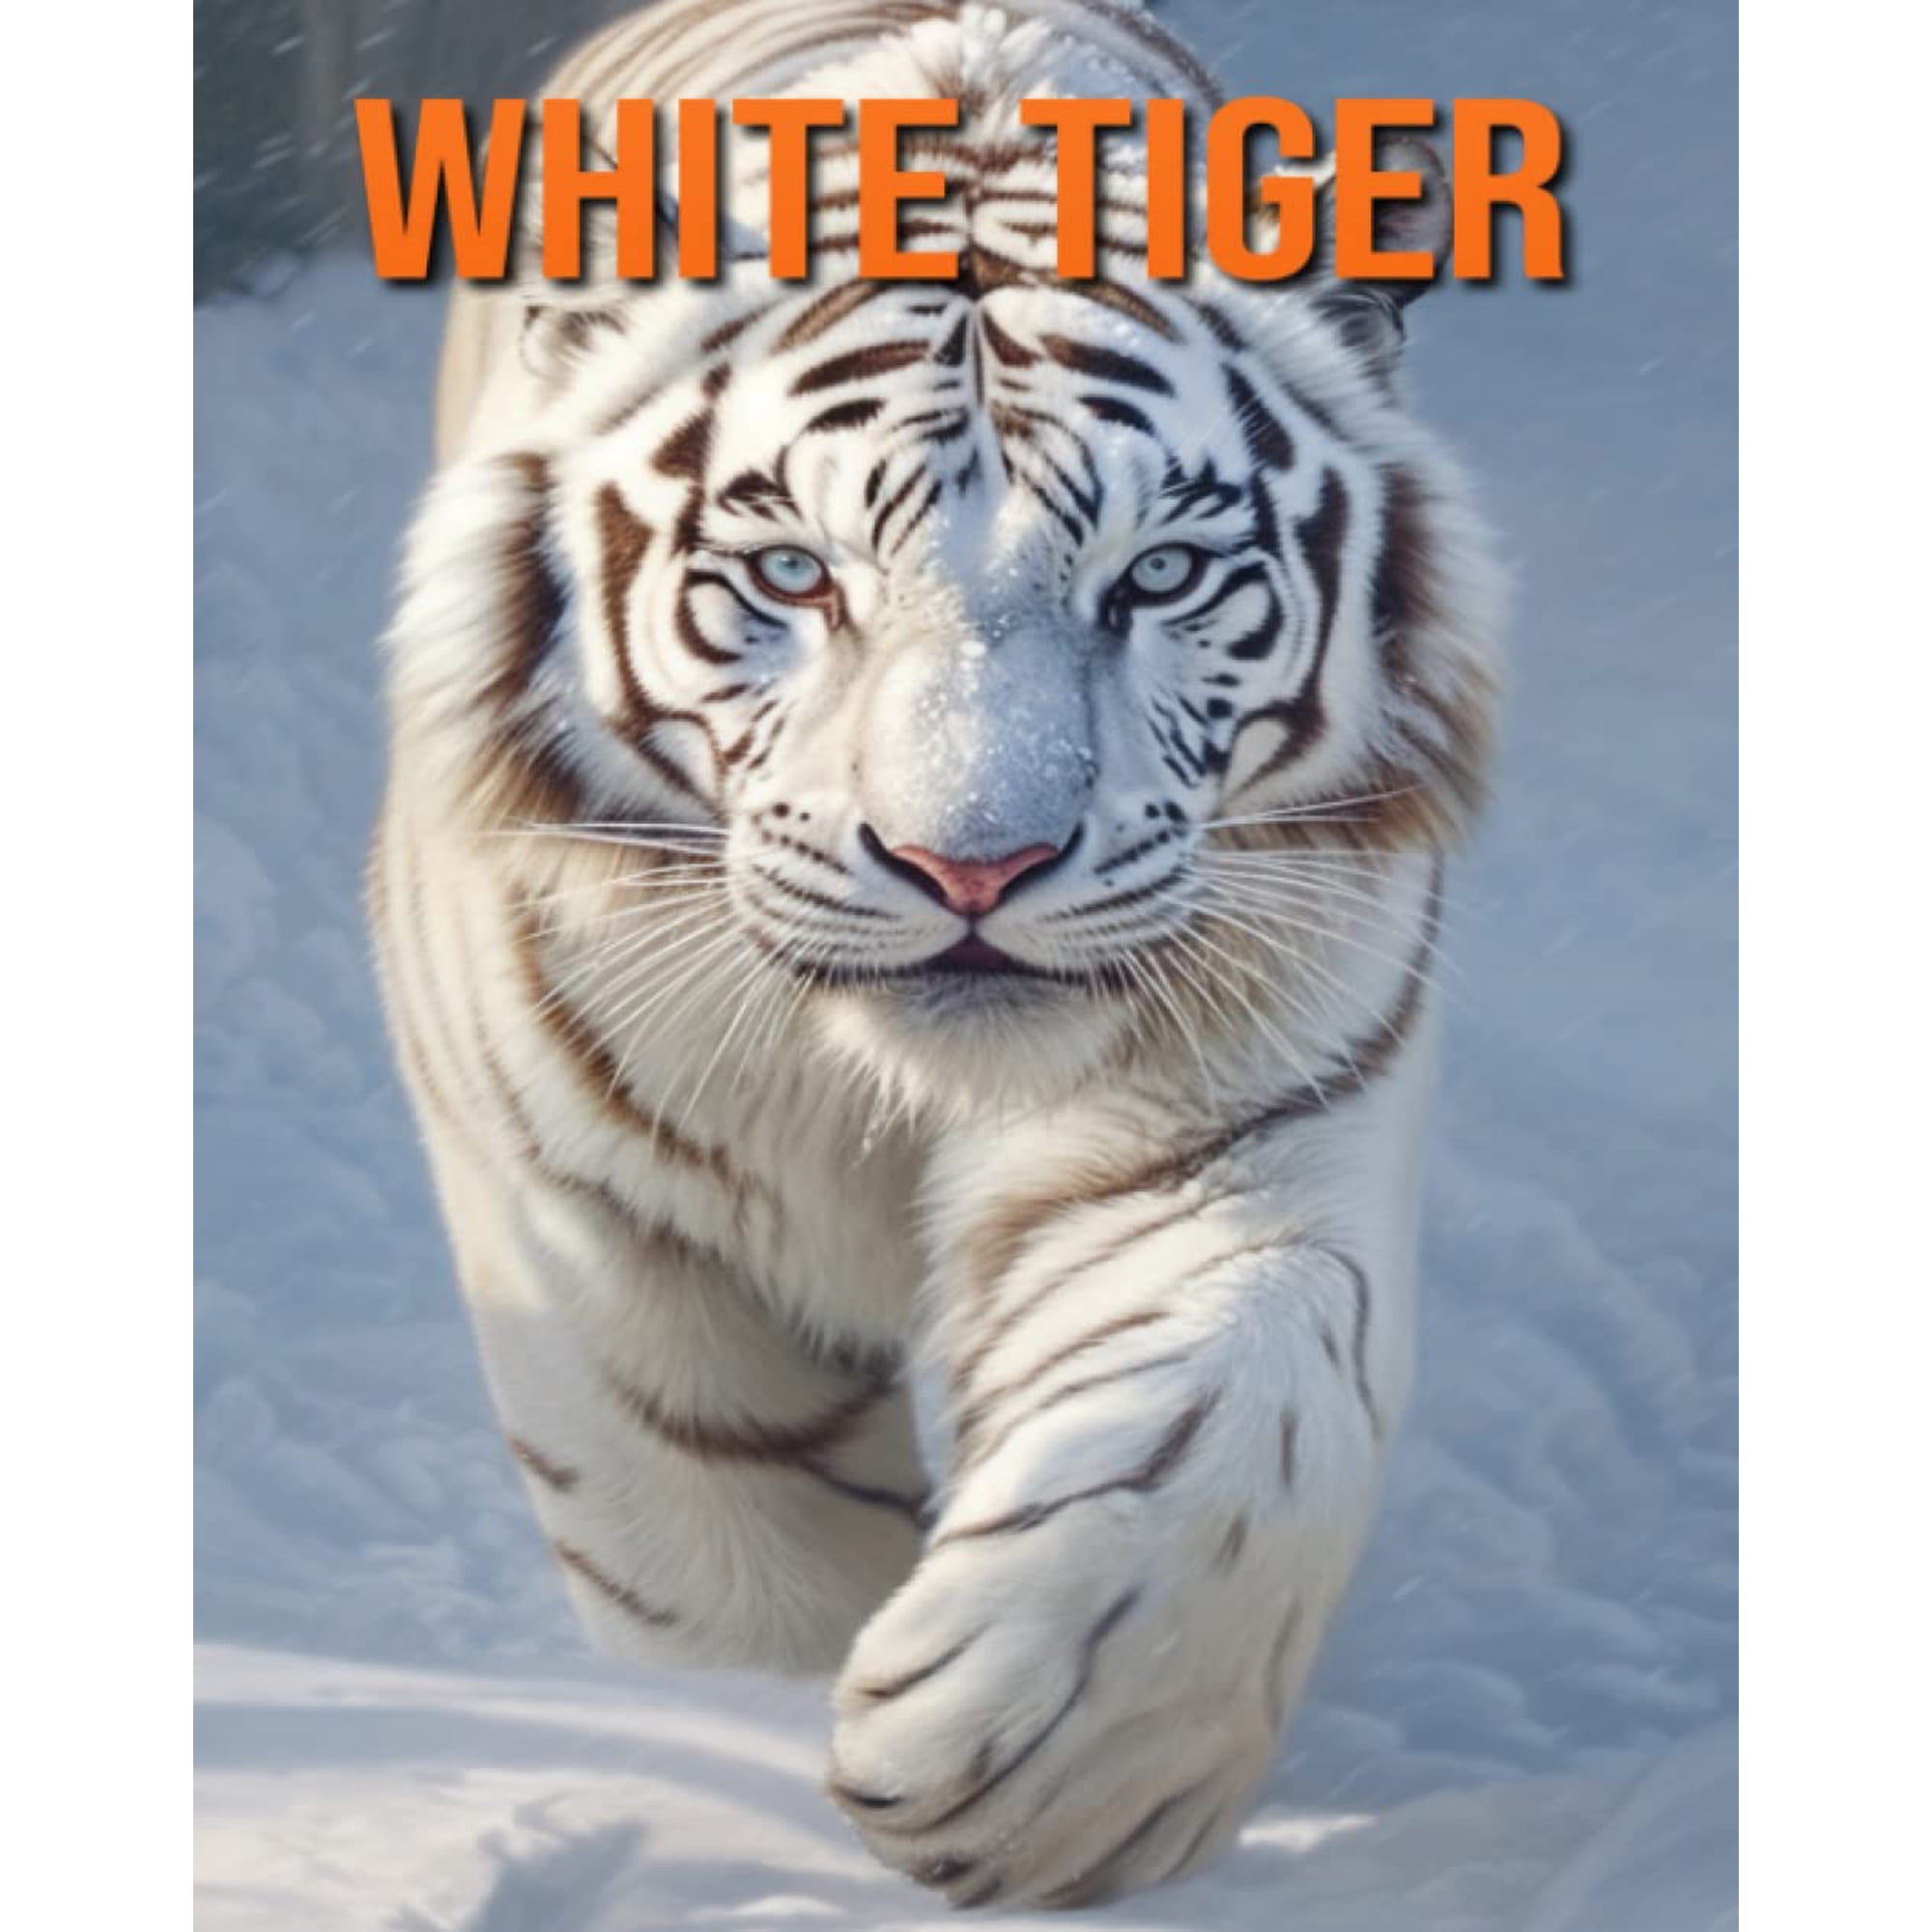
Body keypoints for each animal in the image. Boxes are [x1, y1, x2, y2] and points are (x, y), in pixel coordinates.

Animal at [368, 0, 1505, 1908]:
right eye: (790, 574)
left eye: (1162, 575)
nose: (973, 863)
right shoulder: (584, 1211)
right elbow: (721, 1553)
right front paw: (751, 1780)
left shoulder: (1246, 1113)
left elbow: (1243, 1396)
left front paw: (1049, 1776)